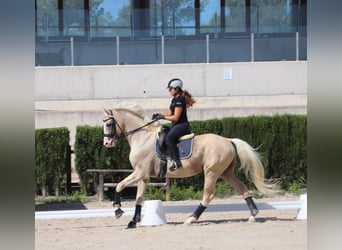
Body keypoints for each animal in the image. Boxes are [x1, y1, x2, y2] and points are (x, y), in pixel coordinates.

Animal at [101, 103, 278, 229]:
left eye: (109, 123)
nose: (107, 143)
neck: (141, 137)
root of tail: (228, 140)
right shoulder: (143, 176)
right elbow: (139, 198)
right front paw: (133, 221)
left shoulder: (139, 173)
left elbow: (119, 185)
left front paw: (118, 210)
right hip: (226, 173)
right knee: (243, 188)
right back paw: (253, 215)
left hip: (211, 172)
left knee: (208, 196)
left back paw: (191, 219)